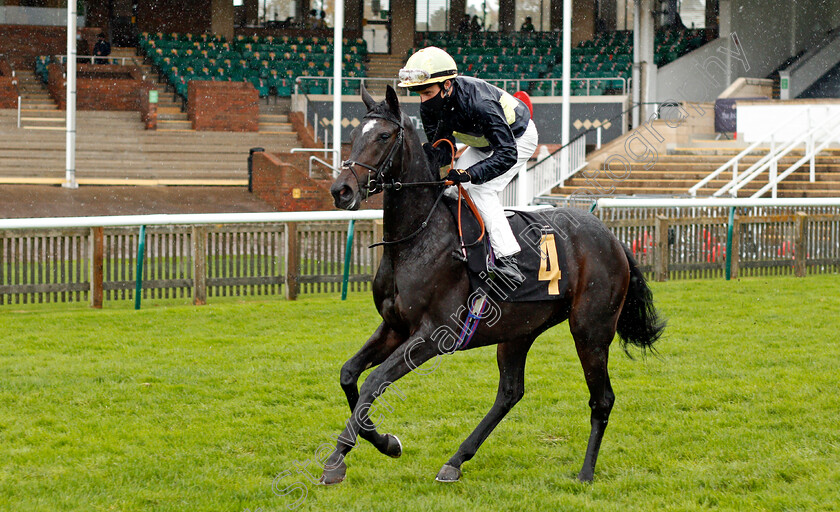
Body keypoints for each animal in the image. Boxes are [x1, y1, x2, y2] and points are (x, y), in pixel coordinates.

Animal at [322, 84, 664, 484]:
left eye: (383, 136)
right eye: (353, 135)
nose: (341, 190)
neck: (417, 238)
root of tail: (612, 239)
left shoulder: (434, 335)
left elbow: (374, 382)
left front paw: (338, 459)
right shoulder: (394, 327)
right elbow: (349, 375)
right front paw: (385, 443)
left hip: (590, 329)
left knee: (602, 398)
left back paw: (585, 473)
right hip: (519, 330)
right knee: (510, 392)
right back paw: (456, 460)